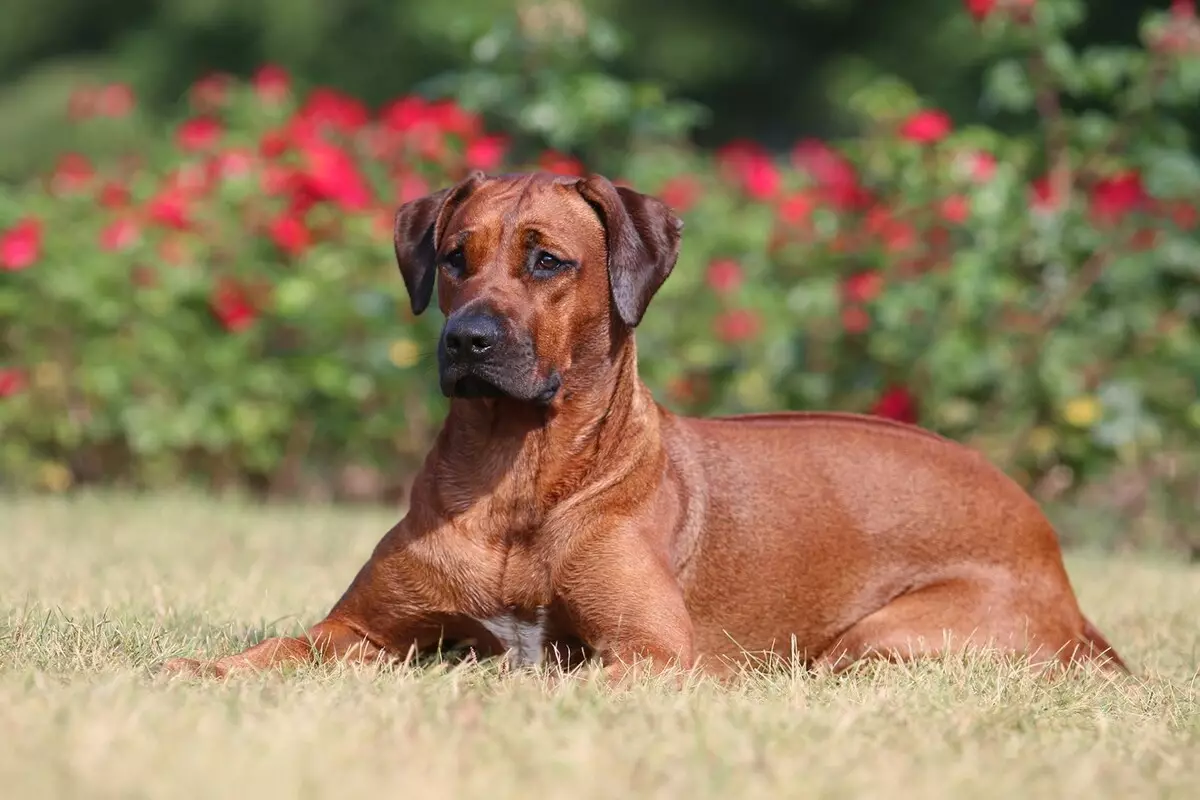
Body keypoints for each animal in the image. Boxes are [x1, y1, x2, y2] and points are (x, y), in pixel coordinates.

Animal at [159, 169, 1123, 681]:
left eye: (548, 261)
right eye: (454, 257)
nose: (465, 339)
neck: (514, 474)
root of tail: (1063, 571)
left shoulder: (648, 653)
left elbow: (542, 680)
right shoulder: (357, 633)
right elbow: (282, 646)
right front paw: (198, 671)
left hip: (879, 640)